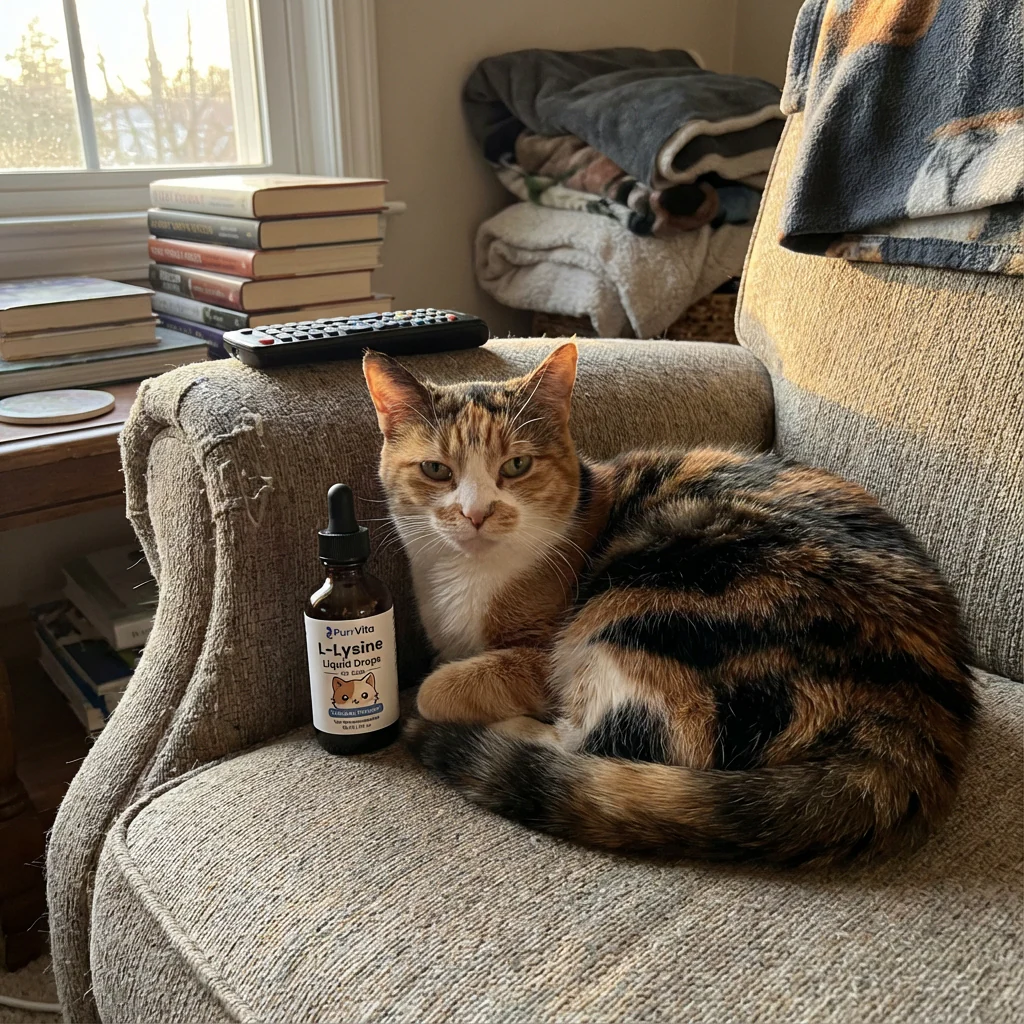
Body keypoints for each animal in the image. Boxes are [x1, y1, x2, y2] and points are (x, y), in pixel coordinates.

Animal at [363, 343, 977, 865]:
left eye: (516, 466)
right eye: (437, 470)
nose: (476, 513)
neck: (464, 577)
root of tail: (916, 711)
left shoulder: (543, 652)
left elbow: (440, 685)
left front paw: (438, 691)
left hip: (649, 599)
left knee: (612, 744)